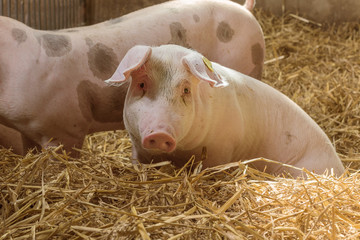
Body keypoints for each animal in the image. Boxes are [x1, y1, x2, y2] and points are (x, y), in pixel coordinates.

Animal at [105, 44, 344, 177]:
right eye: (141, 84)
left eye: (186, 90)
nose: (160, 133)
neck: (180, 153)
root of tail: (342, 169)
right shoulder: (137, 145)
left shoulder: (223, 149)